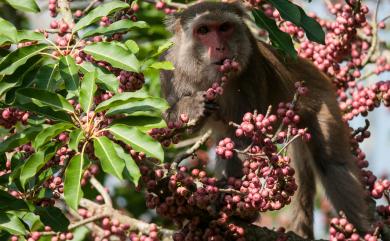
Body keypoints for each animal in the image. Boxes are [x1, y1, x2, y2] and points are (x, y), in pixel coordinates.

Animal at [161, 1, 372, 239]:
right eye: (203, 30)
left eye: (224, 28)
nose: (220, 48)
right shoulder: (171, 69)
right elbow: (178, 127)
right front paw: (190, 107)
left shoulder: (251, 68)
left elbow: (245, 139)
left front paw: (237, 204)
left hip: (323, 101)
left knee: (333, 164)